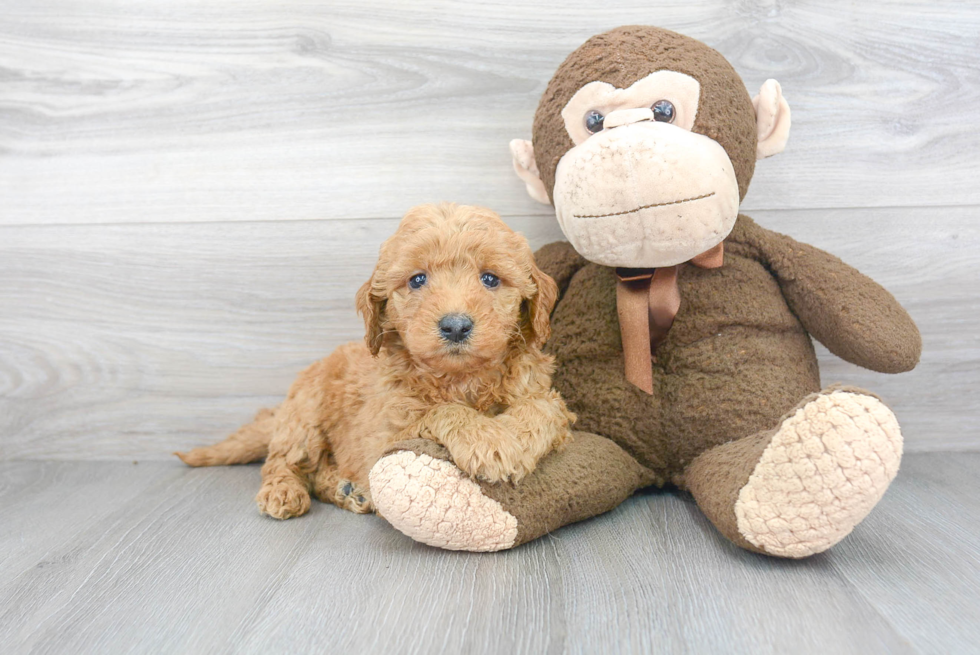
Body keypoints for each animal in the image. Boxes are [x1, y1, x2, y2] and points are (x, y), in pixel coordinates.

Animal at [178, 202, 576, 520]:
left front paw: (512, 437)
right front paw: (486, 439)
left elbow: (545, 407)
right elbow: (441, 412)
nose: (456, 326)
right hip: (304, 417)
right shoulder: (383, 438)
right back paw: (284, 491)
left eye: (490, 279)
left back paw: (346, 490)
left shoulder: (542, 394)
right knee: (282, 461)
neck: (460, 379)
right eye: (417, 279)